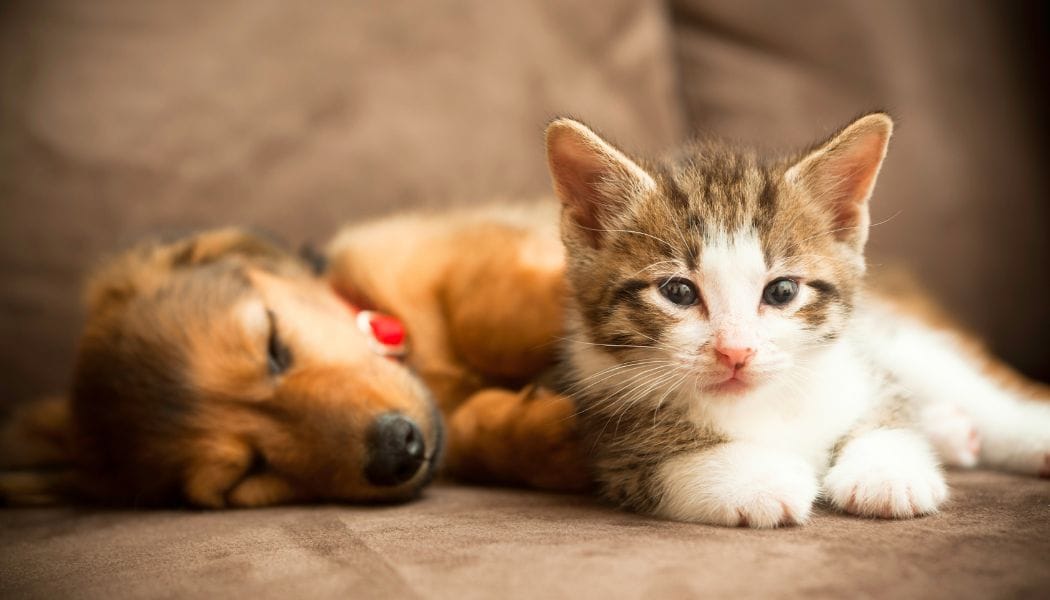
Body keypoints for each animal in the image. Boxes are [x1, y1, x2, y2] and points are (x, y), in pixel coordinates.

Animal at [546, 115, 1050, 527]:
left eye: (782, 291)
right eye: (678, 292)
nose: (735, 351)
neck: (766, 401)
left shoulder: (859, 362)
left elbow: (889, 409)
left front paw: (886, 471)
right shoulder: (605, 431)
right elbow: (656, 460)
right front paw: (757, 478)